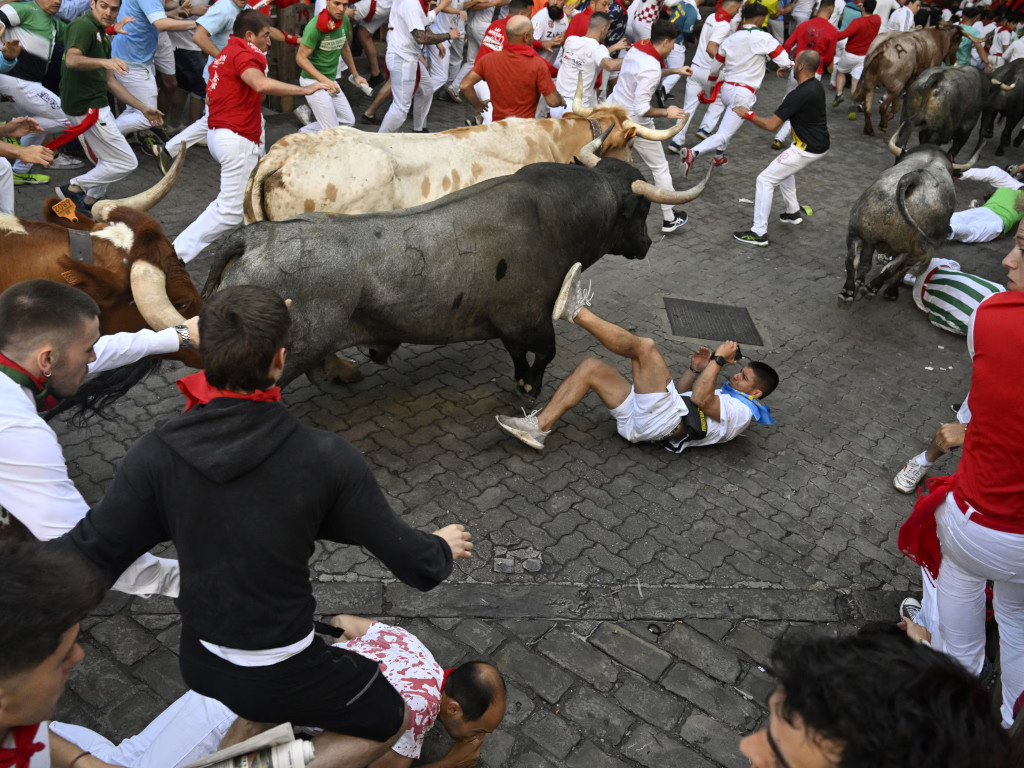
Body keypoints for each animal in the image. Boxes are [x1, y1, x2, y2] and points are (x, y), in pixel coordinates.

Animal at [204, 140, 712, 399]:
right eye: (640, 210)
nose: (647, 244)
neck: (554, 216)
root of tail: (254, 236)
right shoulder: (530, 318)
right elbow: (542, 356)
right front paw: (531, 386)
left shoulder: (510, 325)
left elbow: (517, 356)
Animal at [840, 132, 980, 307]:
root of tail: (914, 177)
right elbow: (899, 270)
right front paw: (890, 291)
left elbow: (866, 262)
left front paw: (860, 281)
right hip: (914, 249)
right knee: (893, 268)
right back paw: (872, 289)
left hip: (856, 231)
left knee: (852, 259)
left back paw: (848, 291)